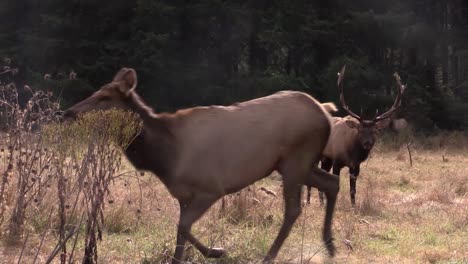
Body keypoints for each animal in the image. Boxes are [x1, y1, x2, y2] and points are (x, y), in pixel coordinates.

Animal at [63, 67, 340, 264]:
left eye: (104, 97)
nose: (68, 112)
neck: (164, 157)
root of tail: (325, 112)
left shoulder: (210, 188)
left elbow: (183, 227)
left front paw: (218, 251)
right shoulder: (183, 195)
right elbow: (180, 234)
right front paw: (183, 259)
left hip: (296, 158)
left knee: (293, 209)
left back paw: (270, 256)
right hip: (293, 164)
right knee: (332, 183)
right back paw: (330, 244)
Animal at [306, 65, 404, 207]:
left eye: (375, 131)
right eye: (360, 130)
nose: (367, 143)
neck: (351, 153)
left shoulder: (355, 166)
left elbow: (353, 189)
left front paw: (353, 206)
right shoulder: (337, 161)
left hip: (326, 159)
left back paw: (321, 203)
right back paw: (308, 202)